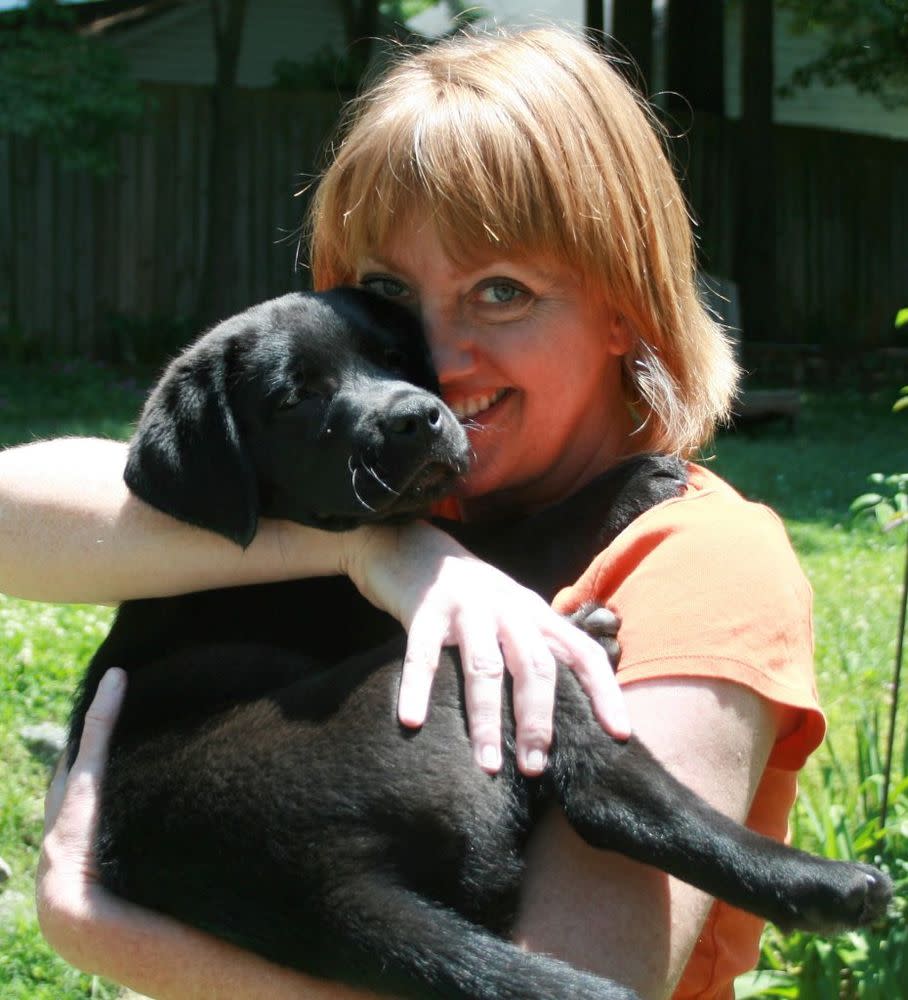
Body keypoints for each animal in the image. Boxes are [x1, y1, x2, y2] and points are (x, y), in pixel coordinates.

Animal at [67, 290, 892, 1000]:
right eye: (294, 398)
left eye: (396, 354)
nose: (417, 418)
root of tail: (313, 884)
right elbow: (505, 544)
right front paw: (633, 481)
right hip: (461, 666)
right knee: (607, 792)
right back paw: (828, 883)